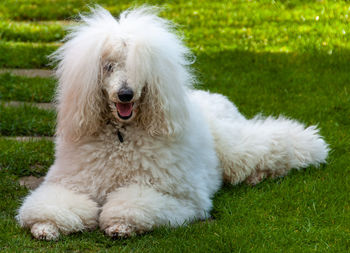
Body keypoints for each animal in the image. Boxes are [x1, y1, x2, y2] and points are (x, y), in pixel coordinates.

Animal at [15, 5, 328, 239]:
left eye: (139, 67)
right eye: (108, 66)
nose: (125, 94)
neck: (121, 137)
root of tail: (213, 96)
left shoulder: (178, 197)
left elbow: (133, 203)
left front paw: (120, 224)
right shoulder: (71, 184)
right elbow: (51, 204)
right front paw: (46, 226)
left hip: (235, 148)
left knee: (276, 143)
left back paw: (301, 151)